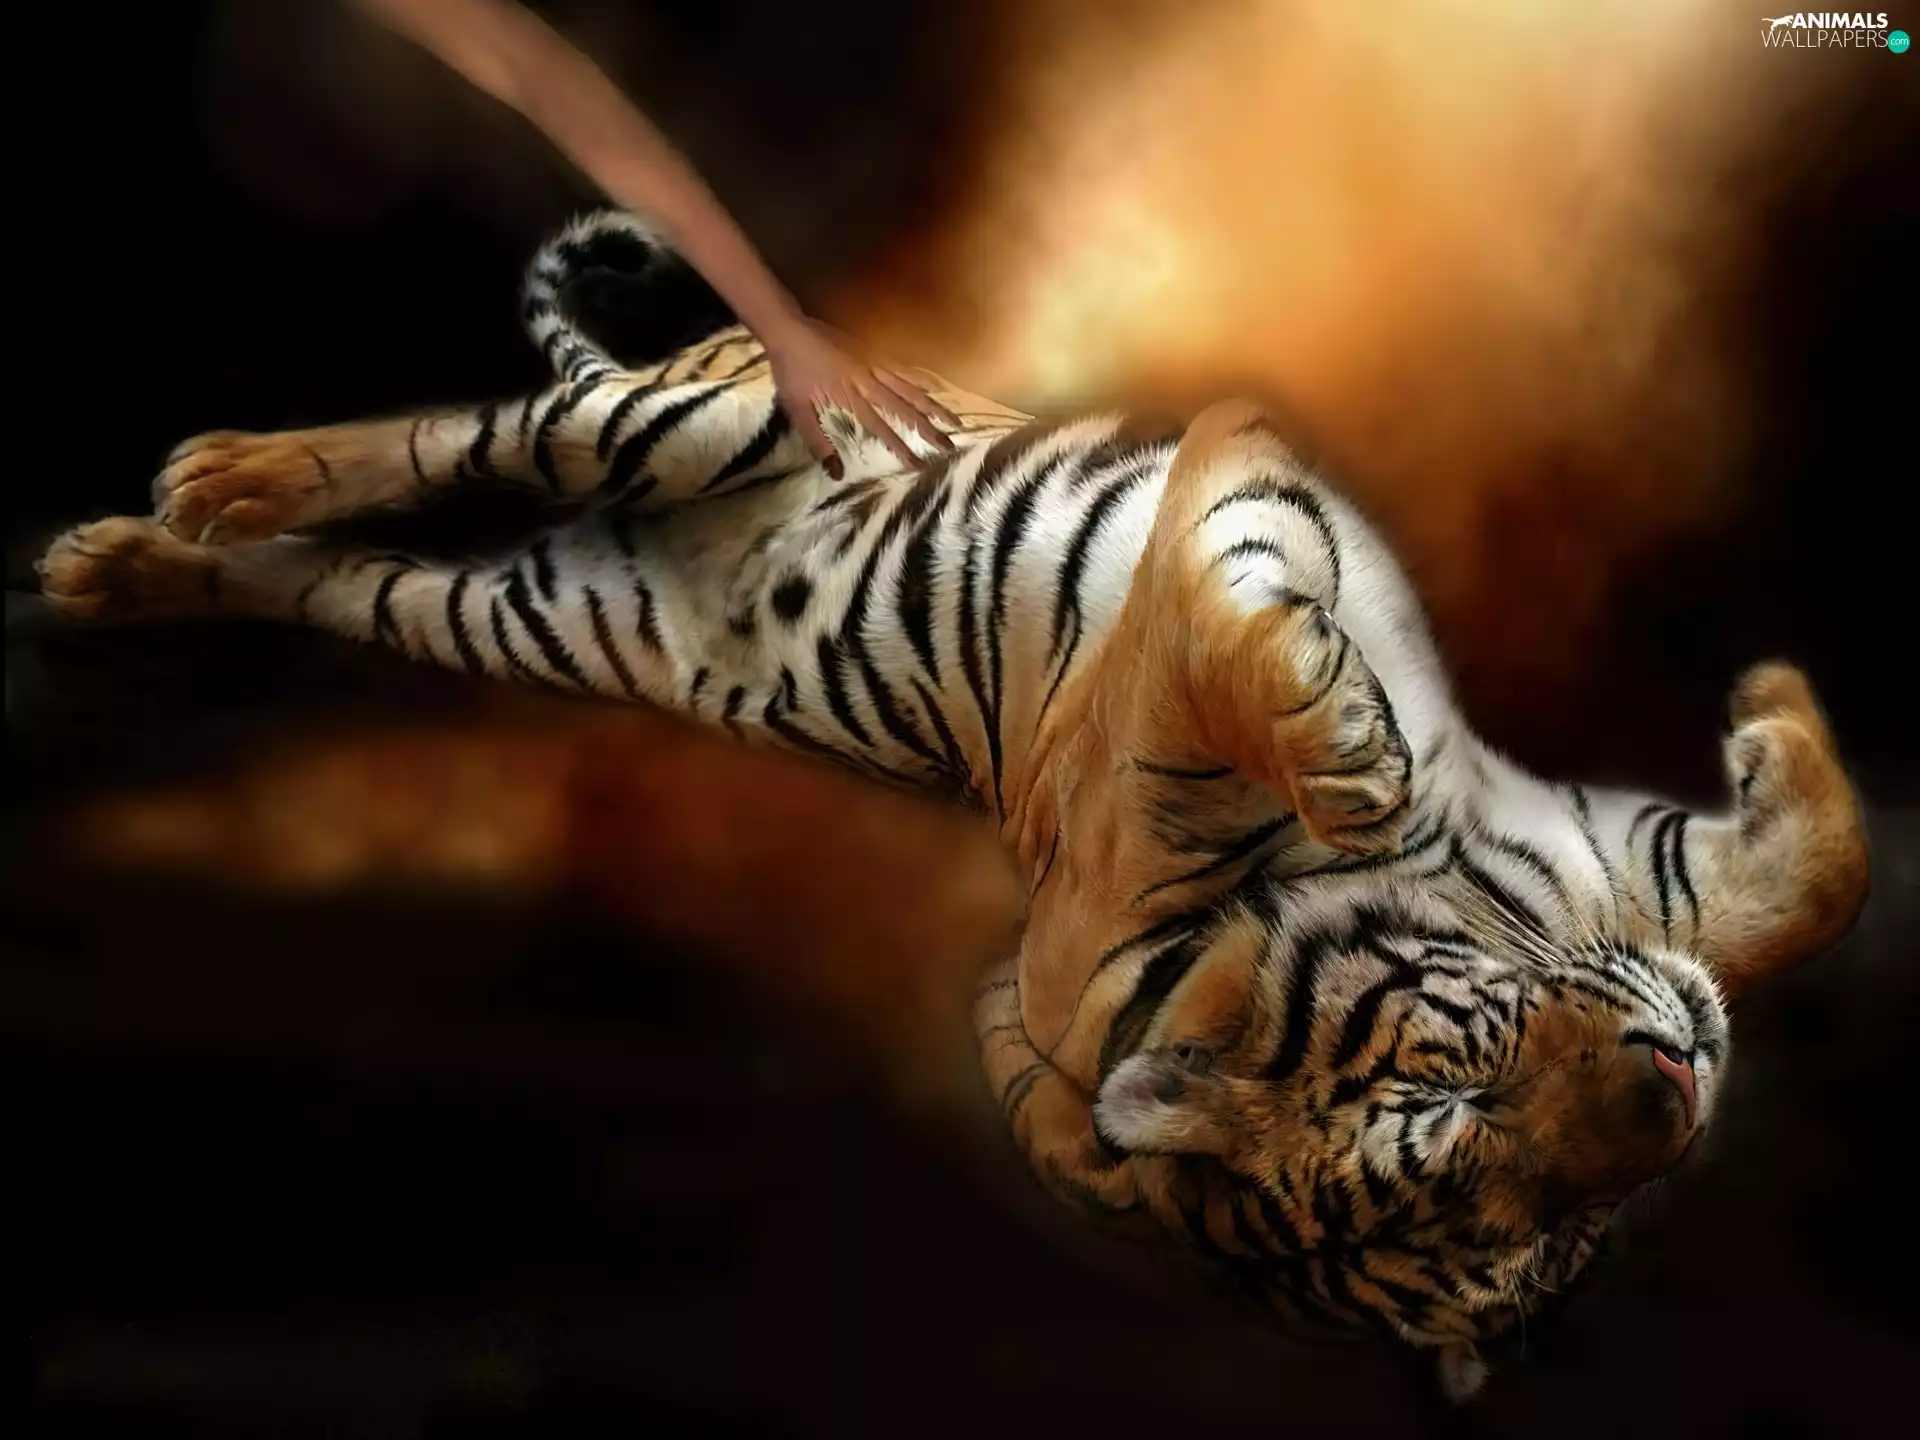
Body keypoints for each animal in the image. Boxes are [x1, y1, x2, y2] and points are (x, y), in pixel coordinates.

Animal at [35, 210, 1870, 1401]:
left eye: (1555, 1226)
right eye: (1456, 1096)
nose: (1678, 1091)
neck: (1493, 896)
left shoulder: (1611, 870)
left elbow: (1813, 882)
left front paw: (1774, 713)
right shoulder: (1218, 561)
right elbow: (1253, 622)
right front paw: (1356, 739)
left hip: (519, 614)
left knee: (331, 578)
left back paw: (128, 565)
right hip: (688, 415)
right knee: (457, 431)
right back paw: (221, 473)